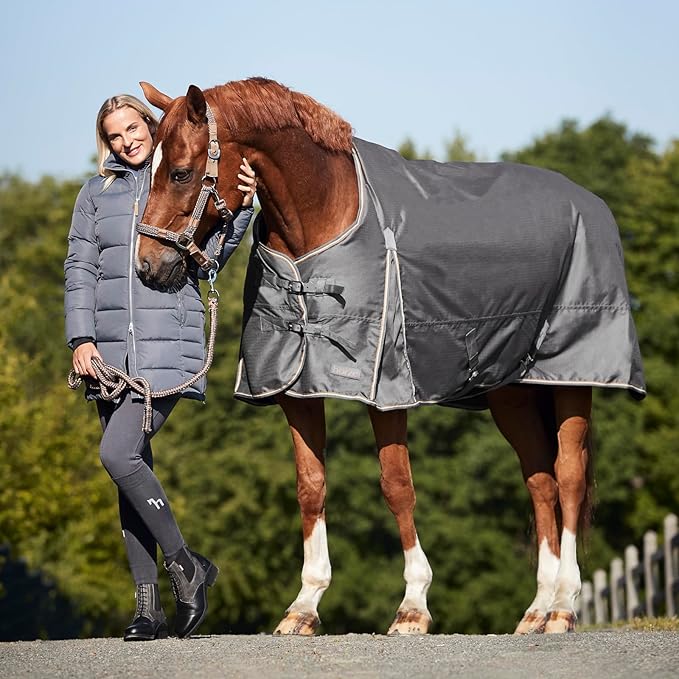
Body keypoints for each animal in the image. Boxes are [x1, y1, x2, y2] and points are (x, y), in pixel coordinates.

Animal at [134, 77, 644, 635]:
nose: (147, 267)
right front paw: (304, 606)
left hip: (571, 380)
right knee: (541, 481)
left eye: (180, 172)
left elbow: (396, 485)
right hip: (512, 391)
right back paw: (536, 609)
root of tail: (589, 202)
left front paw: (413, 606)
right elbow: (310, 486)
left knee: (568, 476)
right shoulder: (297, 390)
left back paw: (563, 606)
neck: (324, 218)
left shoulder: (387, 391)